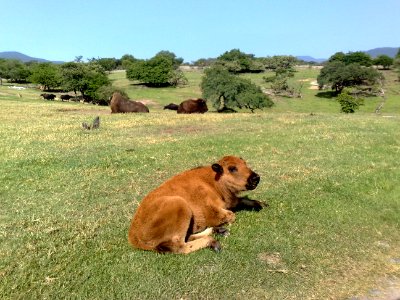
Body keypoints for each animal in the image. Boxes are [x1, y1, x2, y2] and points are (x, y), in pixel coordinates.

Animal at [129, 156, 266, 254]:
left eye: (245, 164)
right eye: (232, 168)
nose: (256, 177)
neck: (213, 181)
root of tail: (133, 237)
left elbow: (242, 200)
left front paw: (262, 204)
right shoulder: (213, 212)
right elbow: (231, 215)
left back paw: (219, 231)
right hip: (180, 205)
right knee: (179, 246)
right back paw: (214, 242)